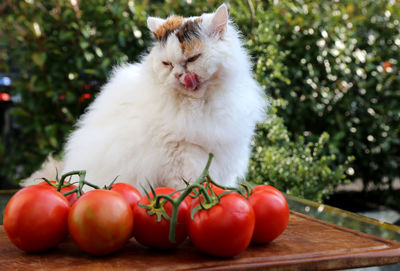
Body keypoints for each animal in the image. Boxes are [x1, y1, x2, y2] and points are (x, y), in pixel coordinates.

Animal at [22, 4, 266, 191]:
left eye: (193, 58)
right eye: (167, 64)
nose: (179, 74)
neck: (199, 105)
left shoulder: (225, 156)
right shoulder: (182, 160)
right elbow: (186, 187)